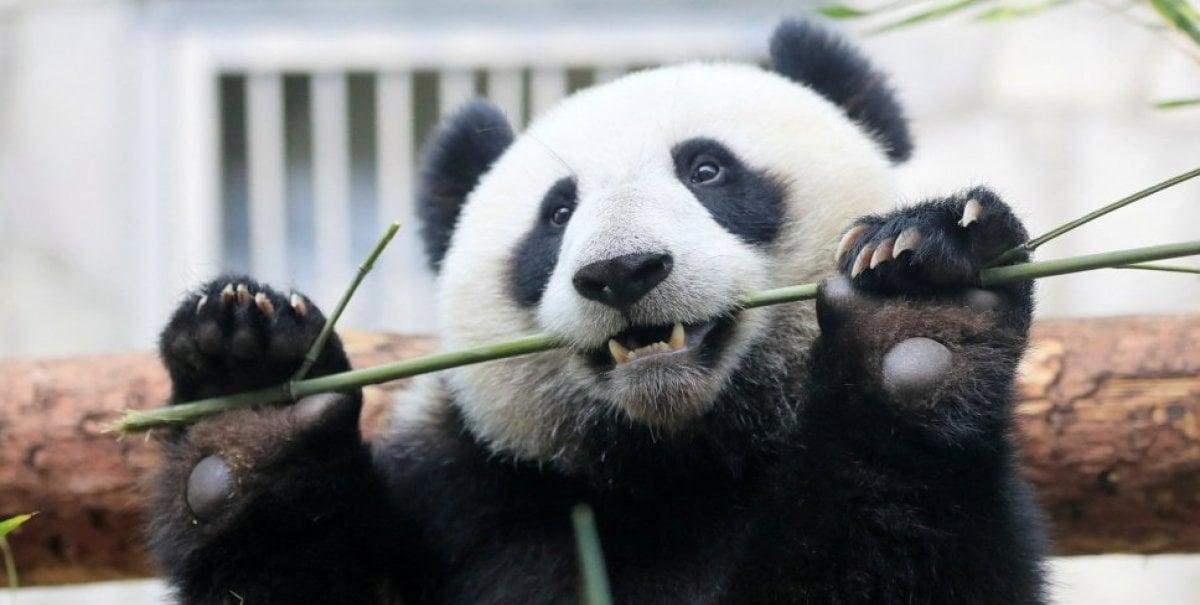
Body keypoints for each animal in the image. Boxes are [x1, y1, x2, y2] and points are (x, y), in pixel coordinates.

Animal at [150, 19, 1046, 605]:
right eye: (556, 213)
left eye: (707, 169)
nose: (621, 272)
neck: (674, 462)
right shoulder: (471, 499)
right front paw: (248, 391)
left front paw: (914, 307)